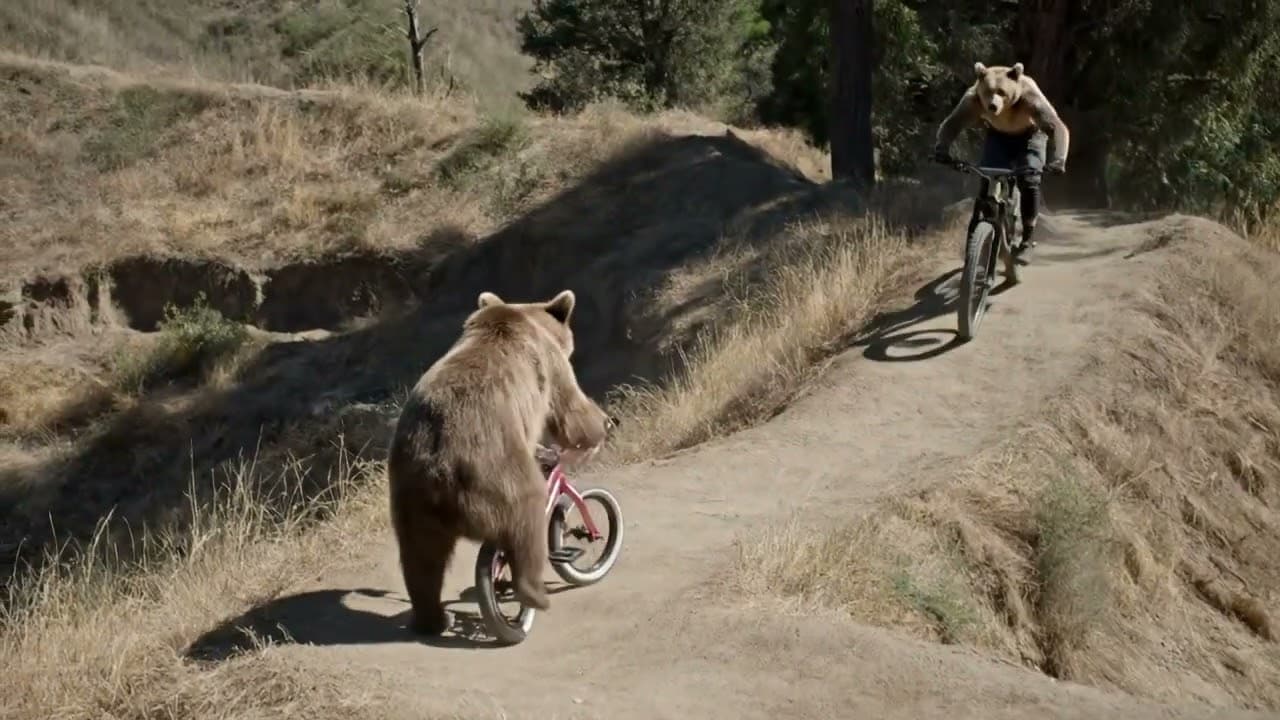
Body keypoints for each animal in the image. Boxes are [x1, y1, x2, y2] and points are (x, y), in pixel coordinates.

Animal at [386, 288, 613, 635]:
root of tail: (439, 467)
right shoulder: (549, 365)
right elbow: (570, 410)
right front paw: (601, 426)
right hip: (500, 471)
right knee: (526, 521)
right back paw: (532, 594)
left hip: (411, 493)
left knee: (421, 558)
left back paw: (432, 618)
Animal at [934, 61, 1071, 275]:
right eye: (989, 91)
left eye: (1001, 92)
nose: (992, 105)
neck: (1005, 111)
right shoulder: (973, 101)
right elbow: (953, 121)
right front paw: (941, 152)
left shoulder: (1029, 100)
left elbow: (1053, 123)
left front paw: (1058, 163)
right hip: (997, 139)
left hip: (1031, 137)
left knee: (1029, 189)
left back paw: (1024, 246)